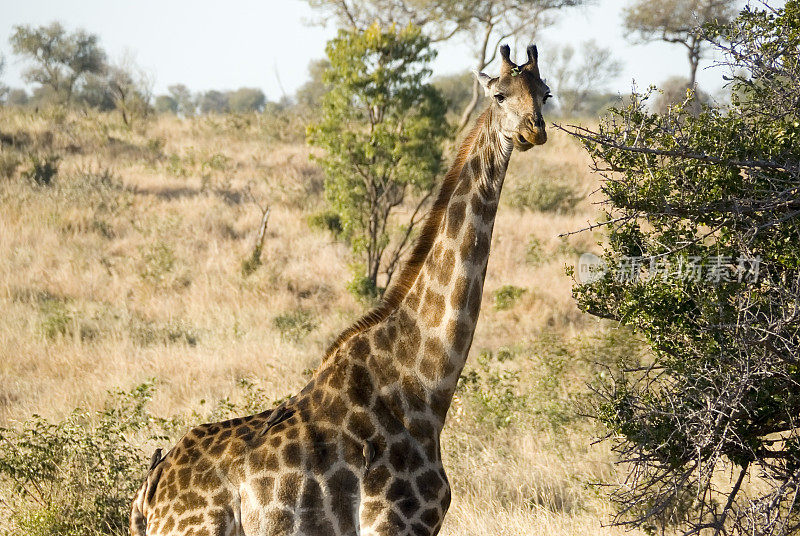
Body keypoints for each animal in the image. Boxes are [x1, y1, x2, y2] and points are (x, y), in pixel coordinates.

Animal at [131, 43, 552, 536]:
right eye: (500, 95)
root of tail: (150, 490)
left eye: (545, 94)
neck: (424, 388)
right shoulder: (391, 523)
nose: (534, 130)